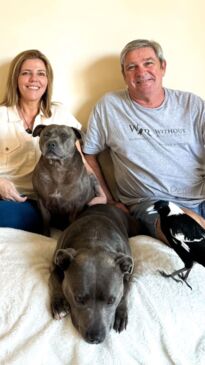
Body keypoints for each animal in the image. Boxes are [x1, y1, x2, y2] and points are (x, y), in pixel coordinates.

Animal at [48, 205, 138, 344]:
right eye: (79, 299)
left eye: (112, 300)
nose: (95, 338)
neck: (94, 242)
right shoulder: (56, 265)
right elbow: (54, 279)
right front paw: (59, 305)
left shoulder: (128, 276)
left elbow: (125, 293)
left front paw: (121, 313)